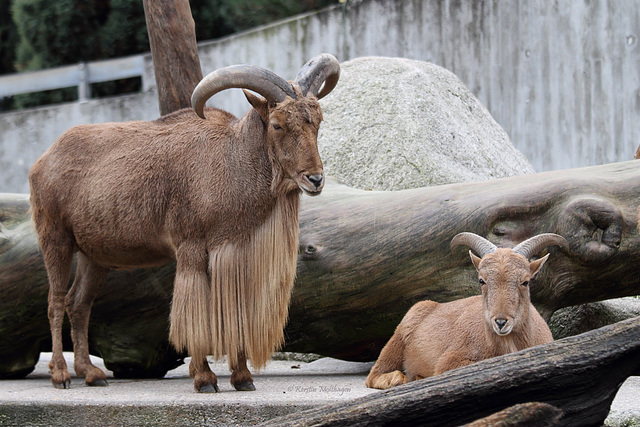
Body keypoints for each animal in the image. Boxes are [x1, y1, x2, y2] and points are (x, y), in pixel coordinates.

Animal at [28, 54, 340, 394]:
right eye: (277, 124)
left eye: (317, 122)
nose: (315, 179)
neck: (231, 160)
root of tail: (42, 161)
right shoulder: (191, 247)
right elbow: (196, 312)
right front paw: (204, 378)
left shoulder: (232, 253)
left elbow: (231, 313)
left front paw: (243, 377)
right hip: (55, 238)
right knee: (55, 302)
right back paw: (61, 374)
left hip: (94, 256)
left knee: (79, 303)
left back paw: (91, 373)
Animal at [362, 232, 568, 390]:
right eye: (481, 280)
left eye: (525, 281)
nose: (501, 322)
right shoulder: (451, 359)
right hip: (398, 337)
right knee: (374, 374)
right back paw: (398, 379)